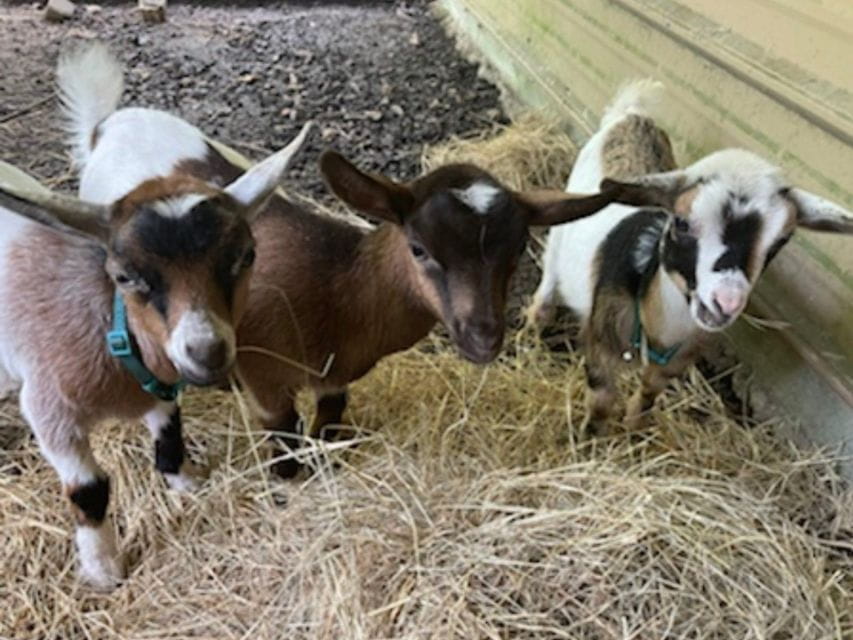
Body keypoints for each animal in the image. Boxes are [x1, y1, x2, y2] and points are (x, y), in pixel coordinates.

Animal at [0, 47, 305, 590]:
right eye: (125, 275)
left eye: (246, 255)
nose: (207, 350)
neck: (111, 333)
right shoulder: (51, 412)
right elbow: (90, 488)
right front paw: (103, 571)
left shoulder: (160, 387)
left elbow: (169, 436)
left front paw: (187, 484)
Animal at [67, 46, 647, 480]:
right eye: (419, 248)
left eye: (515, 251)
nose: (483, 337)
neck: (337, 287)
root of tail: (106, 123)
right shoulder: (268, 377)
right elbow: (285, 437)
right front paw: (289, 485)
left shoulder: (336, 373)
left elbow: (328, 423)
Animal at [528, 79, 853, 433]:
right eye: (681, 223)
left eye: (781, 241)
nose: (726, 302)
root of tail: (632, 116)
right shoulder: (601, 348)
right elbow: (600, 406)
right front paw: (592, 441)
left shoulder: (676, 362)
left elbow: (648, 394)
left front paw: (635, 429)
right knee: (550, 268)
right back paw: (535, 322)